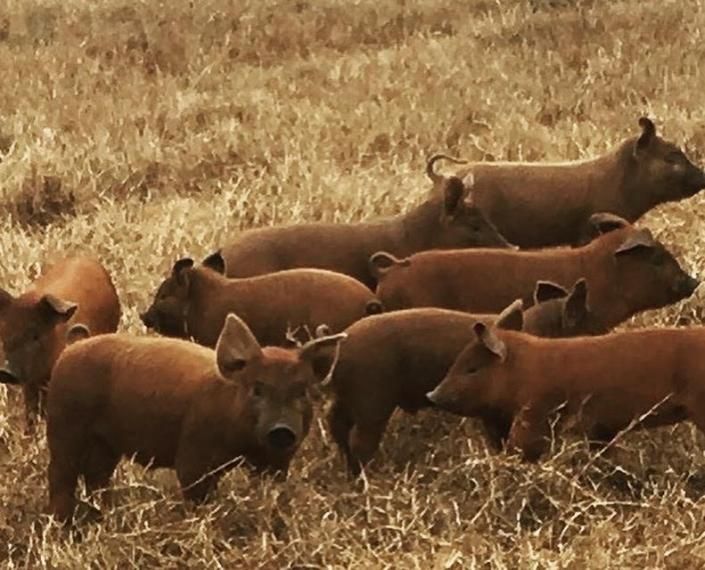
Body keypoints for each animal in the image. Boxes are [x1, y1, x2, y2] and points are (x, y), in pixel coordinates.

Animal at [47, 313, 345, 523]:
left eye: (302, 390)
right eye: (257, 388)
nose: (282, 429)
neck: (242, 444)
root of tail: (72, 348)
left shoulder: (276, 463)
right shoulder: (194, 456)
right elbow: (196, 491)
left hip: (106, 444)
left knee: (97, 476)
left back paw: (104, 517)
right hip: (64, 426)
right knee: (60, 476)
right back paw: (62, 526)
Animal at [426, 323, 705, 463]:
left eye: (472, 368)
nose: (432, 395)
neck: (523, 371)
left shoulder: (536, 413)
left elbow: (524, 447)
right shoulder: (601, 429)